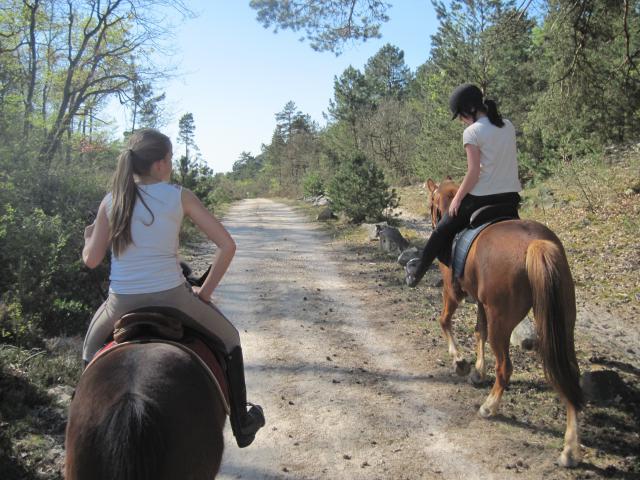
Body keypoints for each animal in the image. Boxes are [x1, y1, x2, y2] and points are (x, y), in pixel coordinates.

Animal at [428, 178, 584, 466]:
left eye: (432, 202)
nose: (435, 219)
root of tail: (537, 244)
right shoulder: (481, 302)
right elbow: (479, 331)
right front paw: (478, 371)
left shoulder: (452, 292)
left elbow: (444, 321)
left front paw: (460, 362)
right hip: (565, 321)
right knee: (570, 372)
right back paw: (569, 448)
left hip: (502, 321)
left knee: (505, 368)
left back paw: (489, 407)